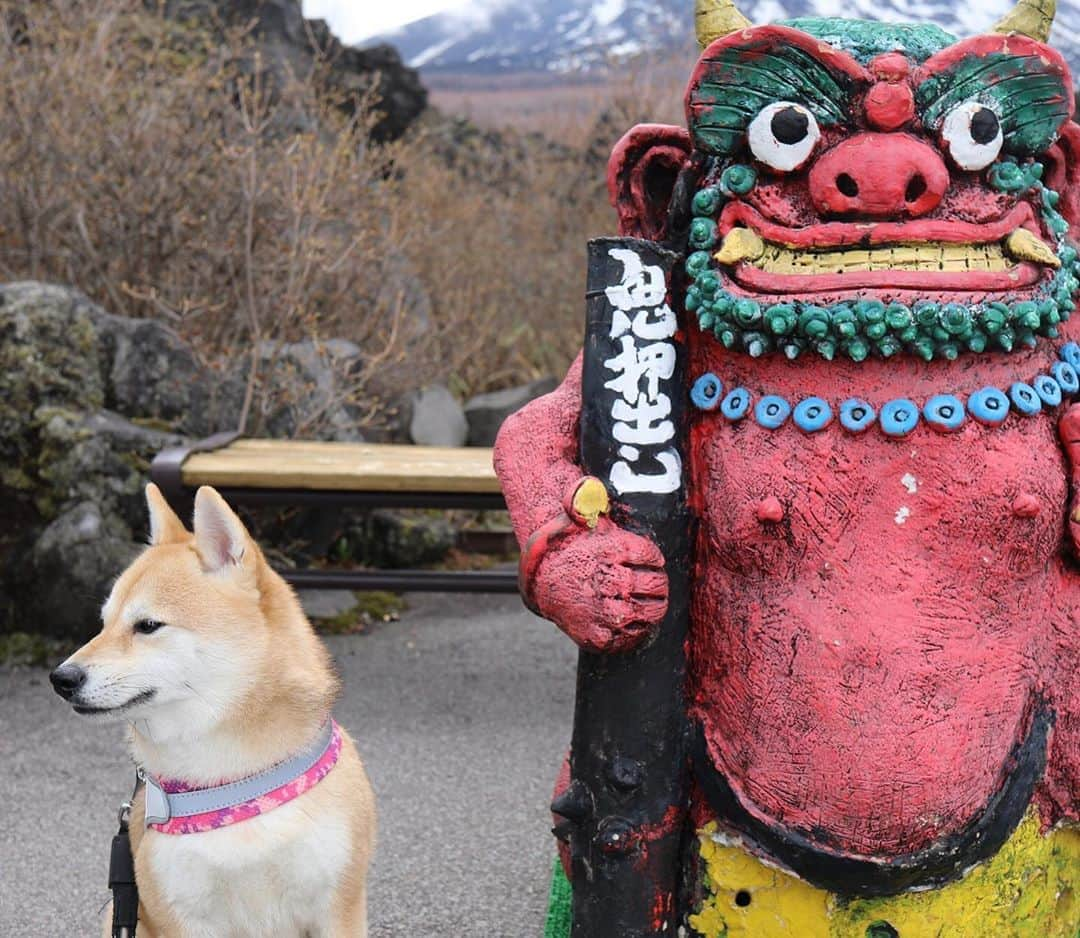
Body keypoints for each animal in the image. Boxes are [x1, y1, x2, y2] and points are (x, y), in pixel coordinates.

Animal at [49, 485, 375, 932]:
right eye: (103, 624)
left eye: (147, 625)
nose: (61, 678)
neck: (230, 781)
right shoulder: (180, 916)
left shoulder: (339, 908)